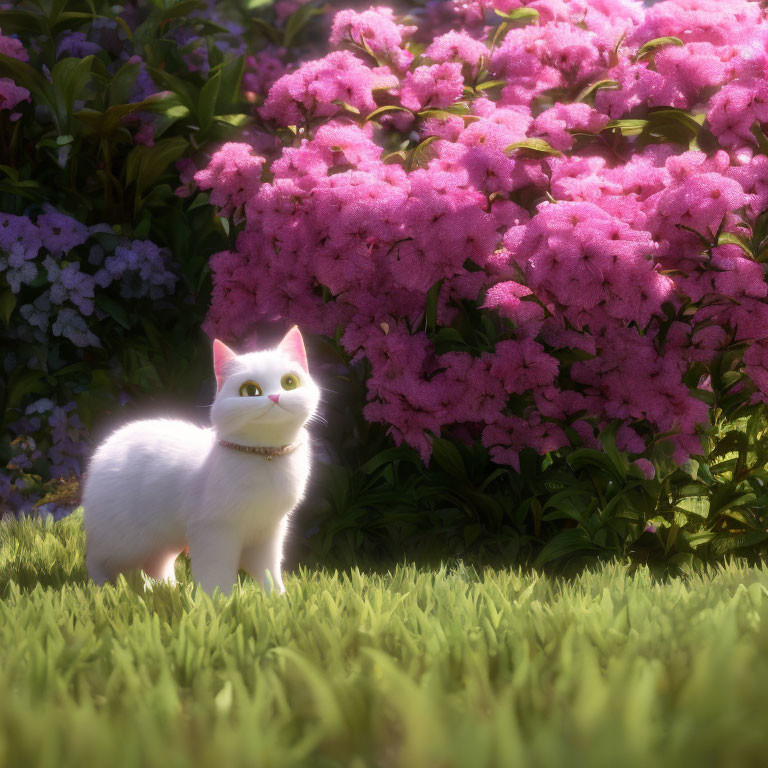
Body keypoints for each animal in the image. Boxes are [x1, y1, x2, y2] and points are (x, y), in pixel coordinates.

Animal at [84, 328, 320, 596]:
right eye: (250, 391)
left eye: (289, 382)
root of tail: (104, 448)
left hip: (162, 541)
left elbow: (269, 572)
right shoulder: (214, 532)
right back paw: (101, 589)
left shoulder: (268, 532)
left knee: (157, 566)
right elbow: (215, 574)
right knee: (95, 559)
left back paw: (167, 588)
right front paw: (218, 600)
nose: (275, 396)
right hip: (124, 543)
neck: (265, 455)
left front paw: (279, 599)